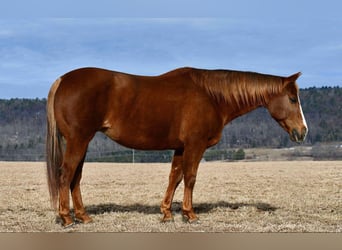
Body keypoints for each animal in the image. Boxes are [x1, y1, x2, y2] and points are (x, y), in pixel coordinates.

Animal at [46, 66, 308, 227]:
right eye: (292, 99)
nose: (303, 132)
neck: (211, 96)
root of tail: (62, 80)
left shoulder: (181, 148)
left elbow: (175, 177)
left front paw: (167, 213)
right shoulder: (195, 144)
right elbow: (190, 177)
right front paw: (189, 214)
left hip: (82, 142)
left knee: (75, 177)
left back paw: (83, 216)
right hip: (79, 140)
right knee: (66, 174)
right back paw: (66, 218)